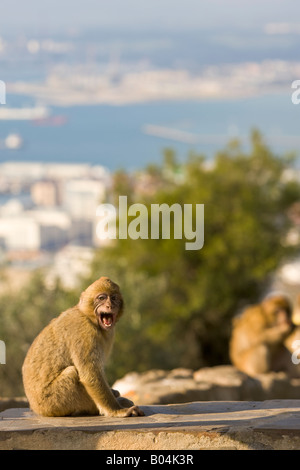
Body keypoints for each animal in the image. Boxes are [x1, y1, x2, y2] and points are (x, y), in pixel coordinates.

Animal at [22, 278, 145, 416]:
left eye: (113, 298)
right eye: (101, 298)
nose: (110, 305)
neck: (88, 317)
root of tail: (35, 407)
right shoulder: (84, 330)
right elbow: (90, 374)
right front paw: (117, 410)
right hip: (53, 402)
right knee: (71, 373)